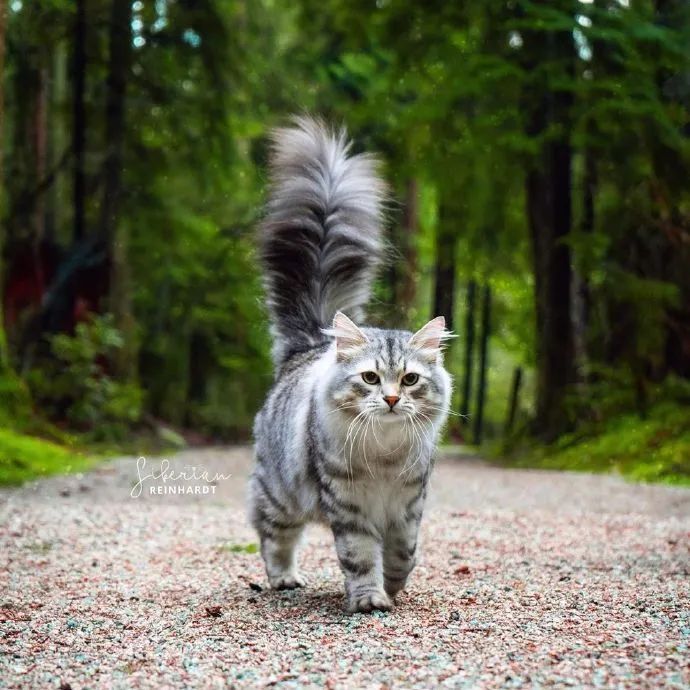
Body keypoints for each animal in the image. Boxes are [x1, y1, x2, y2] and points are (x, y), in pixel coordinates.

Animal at [247, 114, 452, 612]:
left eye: (410, 379)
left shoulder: (407, 507)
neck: (384, 455)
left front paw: (393, 588)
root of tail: (308, 346)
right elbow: (360, 556)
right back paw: (284, 579)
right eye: (371, 378)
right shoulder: (348, 504)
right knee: (273, 538)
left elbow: (403, 554)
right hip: (280, 494)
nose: (393, 399)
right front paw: (370, 599)